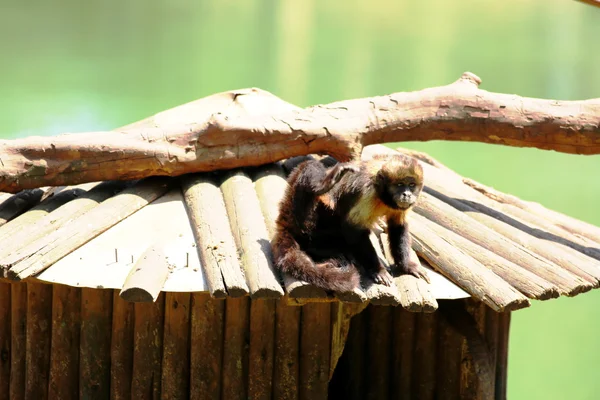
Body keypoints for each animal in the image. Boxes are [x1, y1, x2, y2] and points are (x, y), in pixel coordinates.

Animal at [272, 152, 426, 290]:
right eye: (400, 184)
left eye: (411, 185)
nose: (406, 194)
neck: (382, 195)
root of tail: (285, 221)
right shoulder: (367, 192)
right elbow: (354, 230)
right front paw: (378, 270)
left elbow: (398, 225)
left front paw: (406, 265)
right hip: (299, 215)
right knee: (310, 167)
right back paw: (325, 184)